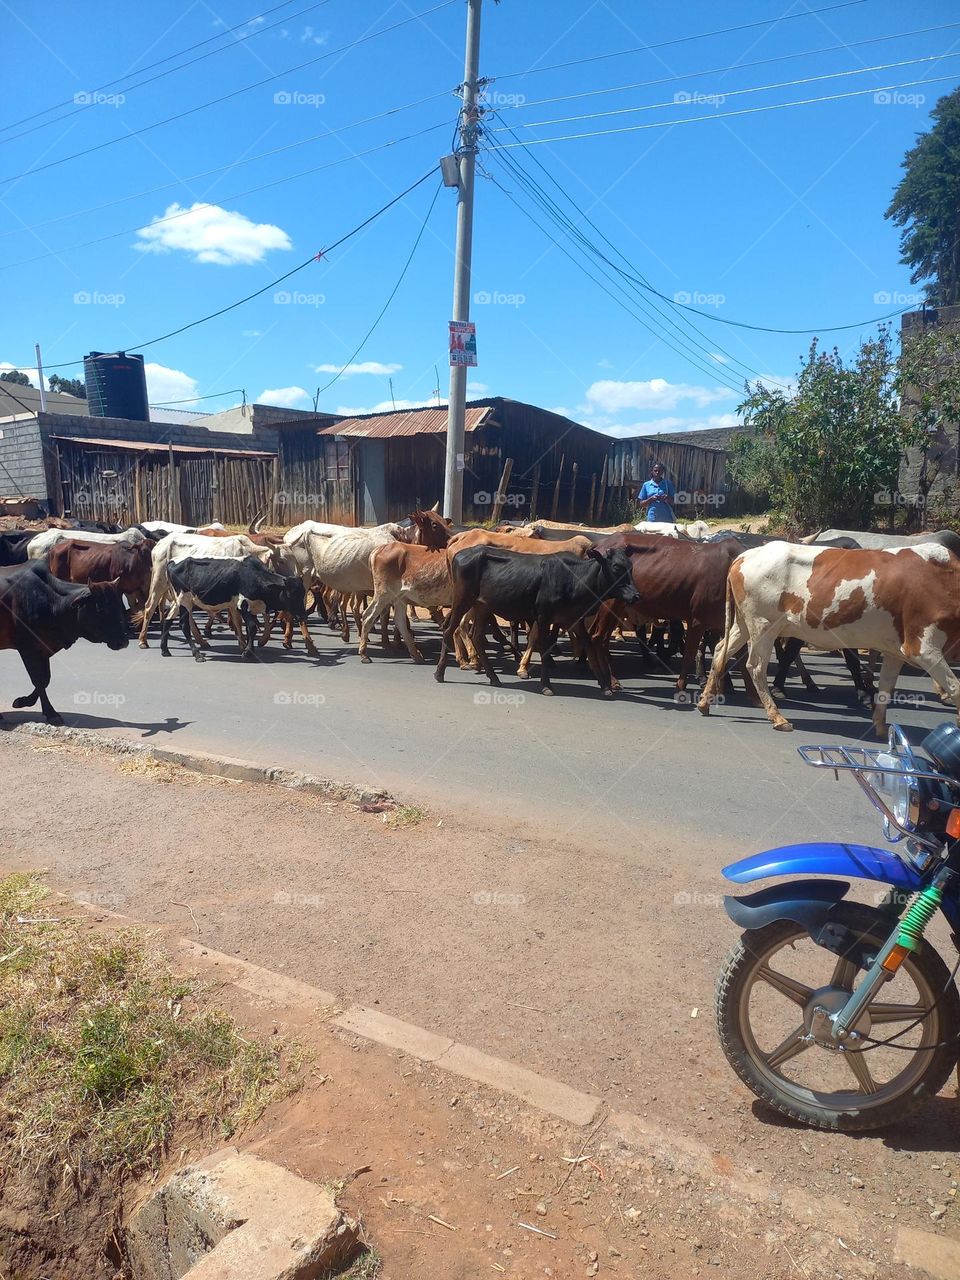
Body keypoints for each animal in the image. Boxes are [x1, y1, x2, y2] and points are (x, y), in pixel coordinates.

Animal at [0, 560, 128, 721]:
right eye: (101, 610)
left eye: (119, 606)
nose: (123, 641)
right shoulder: (27, 648)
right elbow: (39, 680)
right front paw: (51, 713)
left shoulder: (43, 649)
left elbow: (45, 679)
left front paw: (24, 701)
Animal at [160, 555, 305, 665]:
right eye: (291, 594)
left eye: (303, 593)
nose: (302, 616)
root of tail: (172, 561)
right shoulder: (243, 605)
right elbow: (252, 627)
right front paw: (247, 652)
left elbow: (248, 628)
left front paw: (249, 650)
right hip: (185, 600)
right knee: (184, 625)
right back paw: (197, 654)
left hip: (178, 601)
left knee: (167, 618)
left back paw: (165, 650)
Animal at [435, 542, 640, 696]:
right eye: (616, 567)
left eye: (631, 567)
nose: (636, 596)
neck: (575, 579)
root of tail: (459, 553)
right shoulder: (543, 617)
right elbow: (544, 647)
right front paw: (546, 685)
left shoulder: (574, 619)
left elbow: (588, 646)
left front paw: (605, 686)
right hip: (462, 600)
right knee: (449, 630)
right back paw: (439, 673)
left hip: (482, 606)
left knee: (476, 636)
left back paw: (493, 677)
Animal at [701, 540, 960, 737]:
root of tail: (745, 555)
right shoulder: (923, 648)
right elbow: (956, 688)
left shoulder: (895, 651)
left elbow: (886, 687)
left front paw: (880, 728)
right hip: (763, 624)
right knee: (755, 666)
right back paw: (777, 717)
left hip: (744, 624)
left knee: (720, 650)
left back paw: (704, 702)